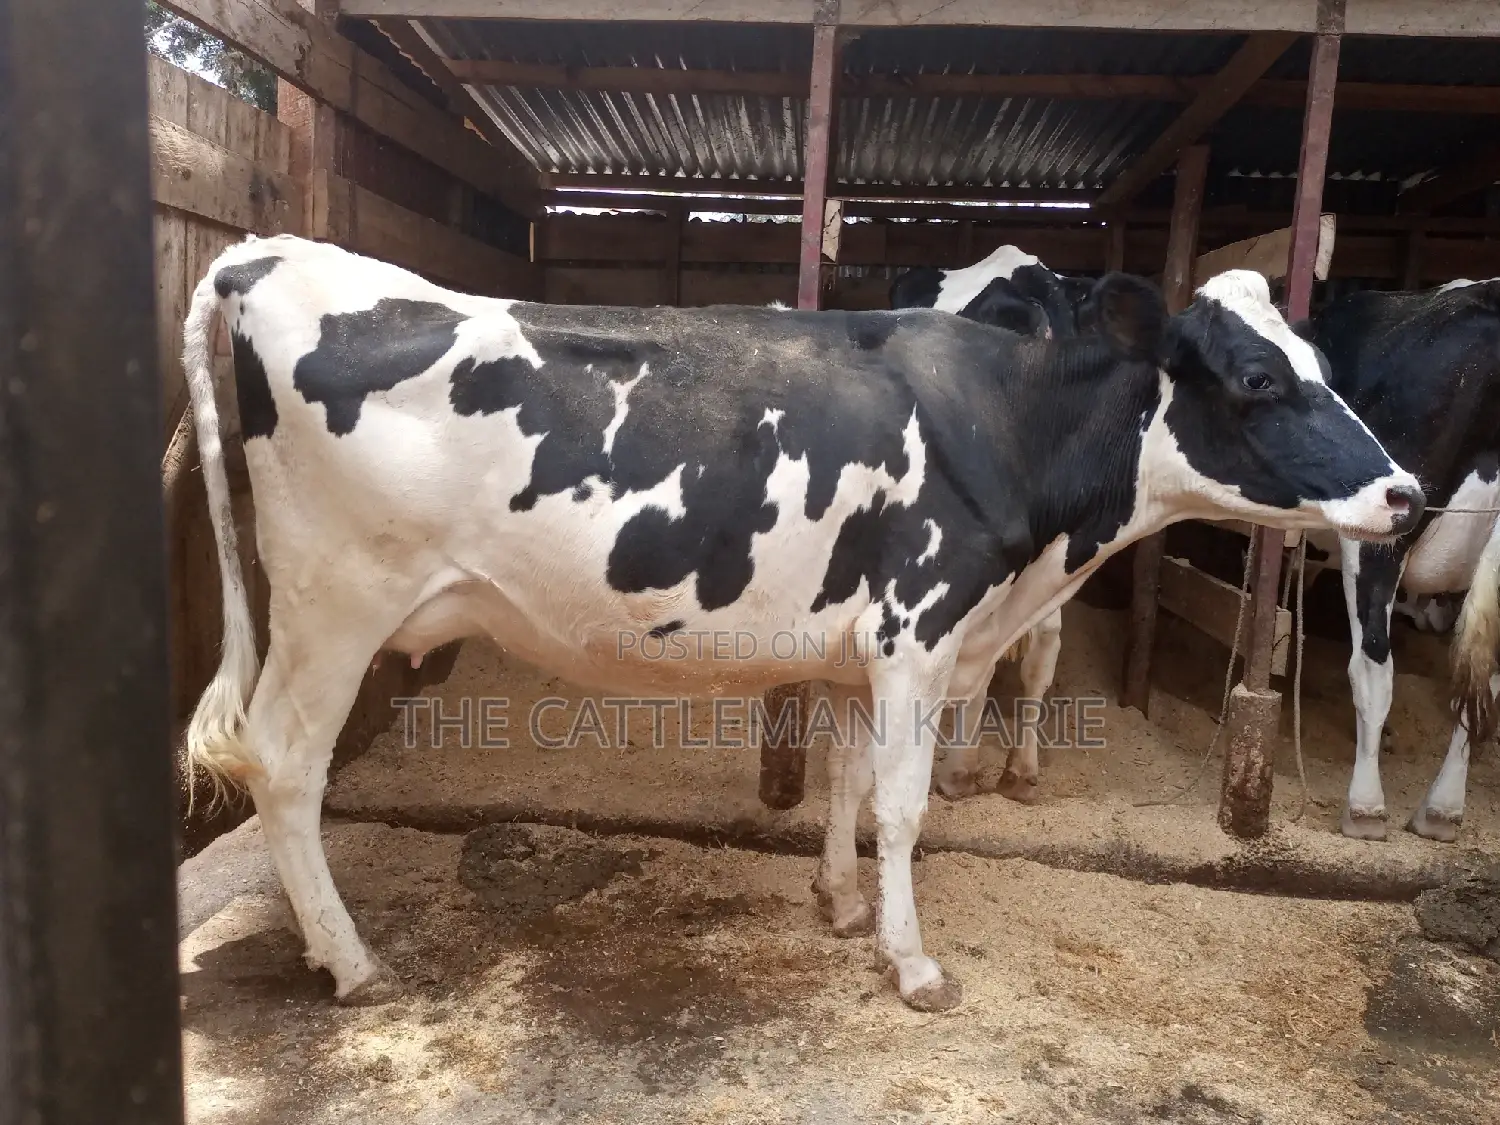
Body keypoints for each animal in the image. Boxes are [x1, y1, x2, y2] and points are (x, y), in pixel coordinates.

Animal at [181, 233, 1420, 1013]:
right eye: (1258, 379)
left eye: (1318, 360)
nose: (1407, 492)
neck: (1008, 423)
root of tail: (276, 253)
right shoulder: (920, 630)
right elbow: (904, 806)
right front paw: (913, 964)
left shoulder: (855, 643)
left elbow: (846, 778)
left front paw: (838, 903)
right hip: (333, 604)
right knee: (284, 764)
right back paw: (349, 962)